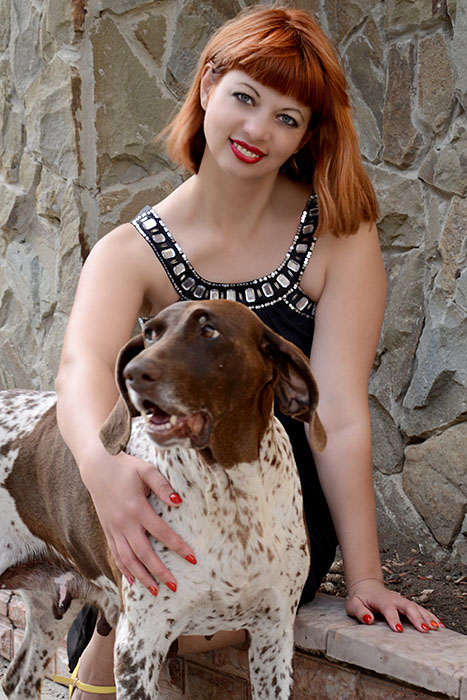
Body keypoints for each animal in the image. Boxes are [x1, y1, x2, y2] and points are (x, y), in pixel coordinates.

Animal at [0, 299, 326, 698]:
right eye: (151, 333)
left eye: (209, 330)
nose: (133, 373)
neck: (231, 493)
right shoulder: (139, 644)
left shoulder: (273, 633)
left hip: (51, 605)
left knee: (18, 679)